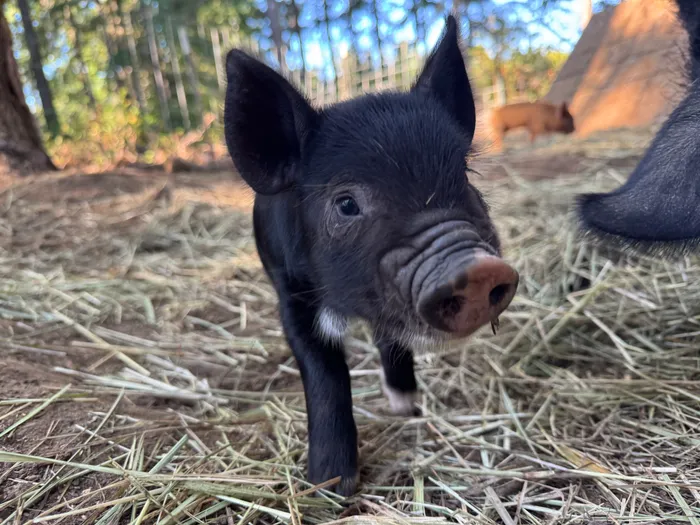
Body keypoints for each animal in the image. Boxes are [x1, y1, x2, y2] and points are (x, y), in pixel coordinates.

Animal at [223, 16, 519, 496]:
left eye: (464, 174)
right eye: (346, 204)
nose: (475, 268)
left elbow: (392, 340)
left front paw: (410, 410)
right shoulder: (291, 294)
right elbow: (325, 372)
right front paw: (331, 486)